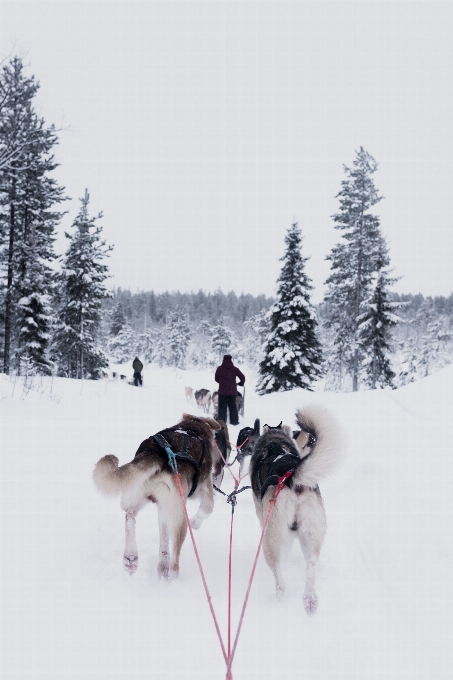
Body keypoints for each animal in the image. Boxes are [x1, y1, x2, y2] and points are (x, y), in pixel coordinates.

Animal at [92, 414, 220, 580]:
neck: (192, 427)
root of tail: (156, 453)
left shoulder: (163, 509)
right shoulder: (205, 488)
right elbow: (207, 508)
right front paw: (196, 522)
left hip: (137, 494)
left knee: (130, 517)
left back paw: (132, 557)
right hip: (179, 517)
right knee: (174, 562)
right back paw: (172, 578)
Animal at [247, 406, 342, 612]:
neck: (275, 444)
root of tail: (292, 477)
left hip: (270, 539)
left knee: (280, 578)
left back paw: (279, 598)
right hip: (311, 535)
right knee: (311, 567)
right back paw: (309, 599)